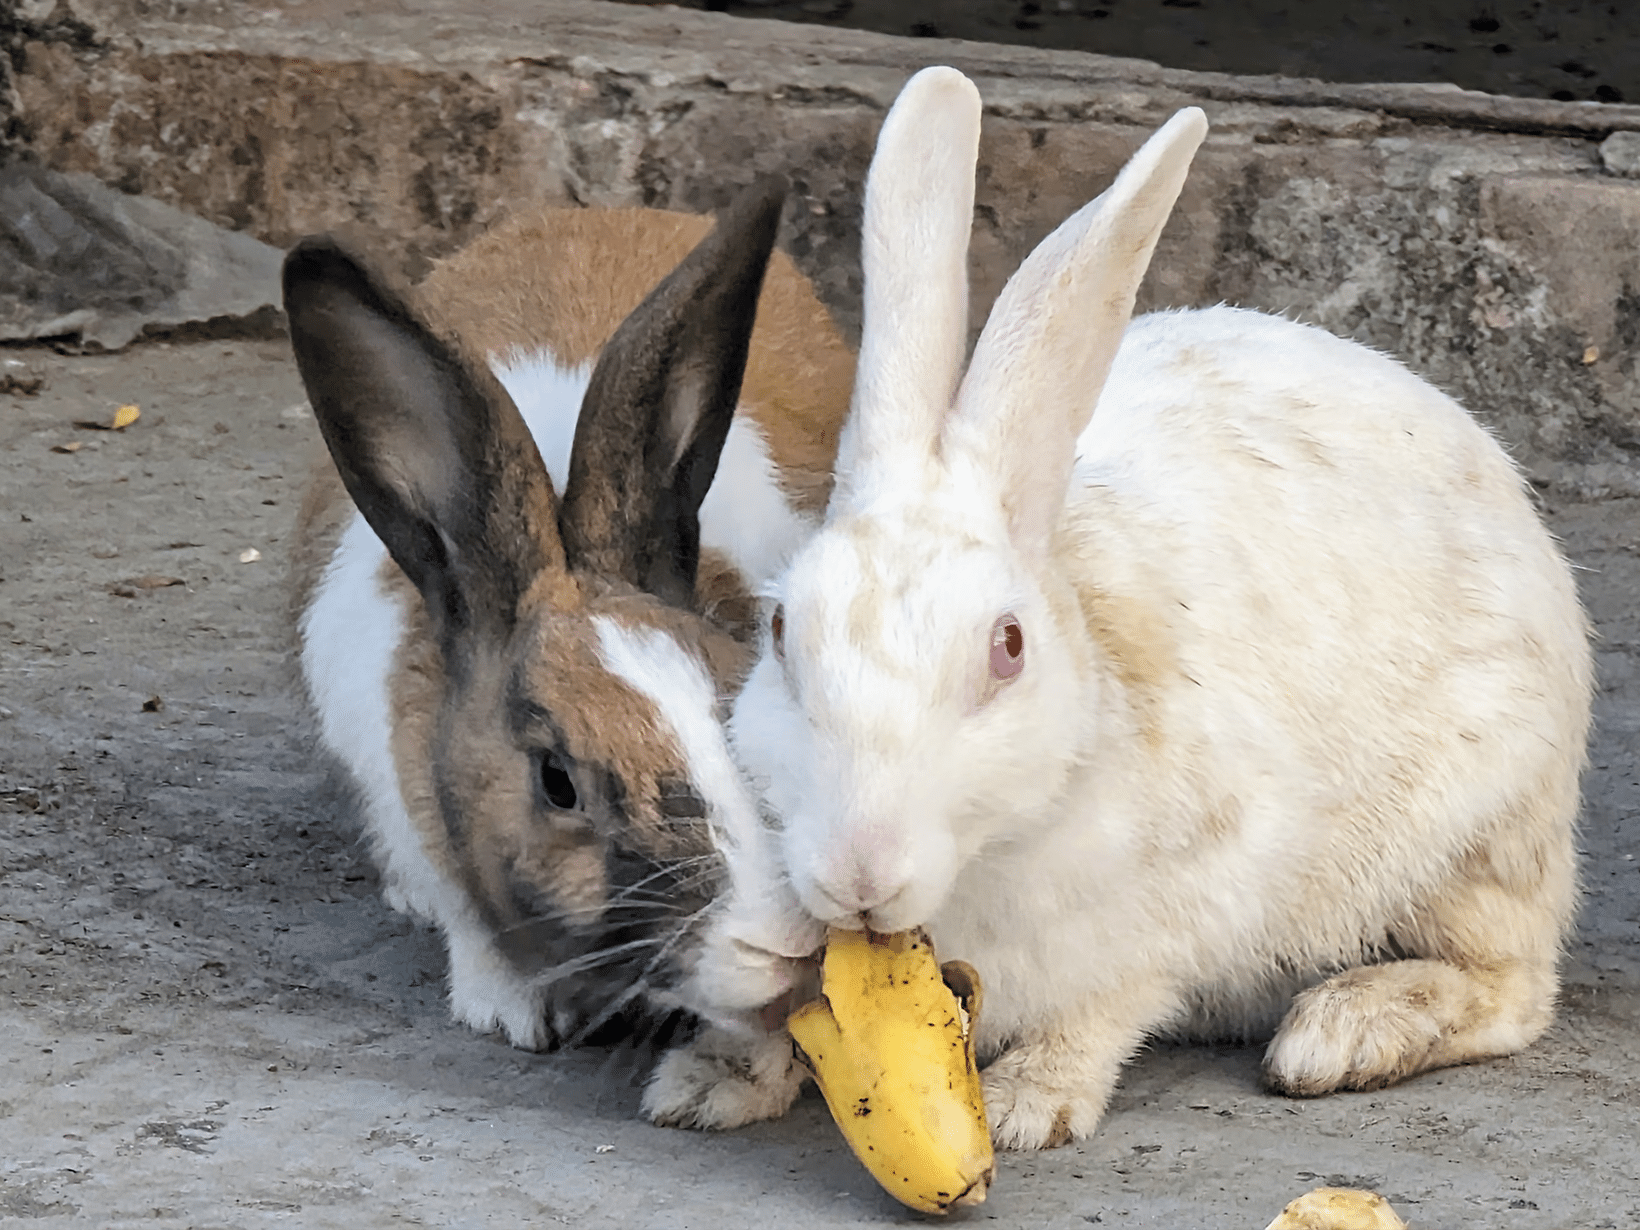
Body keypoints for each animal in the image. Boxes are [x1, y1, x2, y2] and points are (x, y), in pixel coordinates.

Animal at [646, 69, 1594, 1154]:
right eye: (778, 634)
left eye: (1008, 648)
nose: (858, 872)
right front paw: (705, 1085)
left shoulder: (1172, 911)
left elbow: (1102, 1013)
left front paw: (1027, 1106)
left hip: (1474, 837)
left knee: (1512, 987)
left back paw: (1341, 1032)